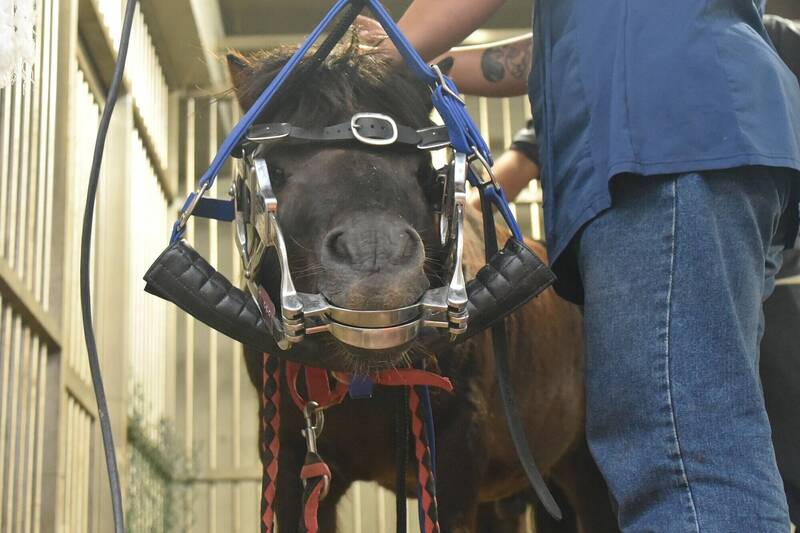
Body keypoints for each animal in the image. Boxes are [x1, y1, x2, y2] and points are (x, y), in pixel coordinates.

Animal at [228, 42, 616, 532]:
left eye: (424, 171)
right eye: (275, 170)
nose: (376, 259)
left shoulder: (456, 451)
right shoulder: (294, 459)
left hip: (581, 471)